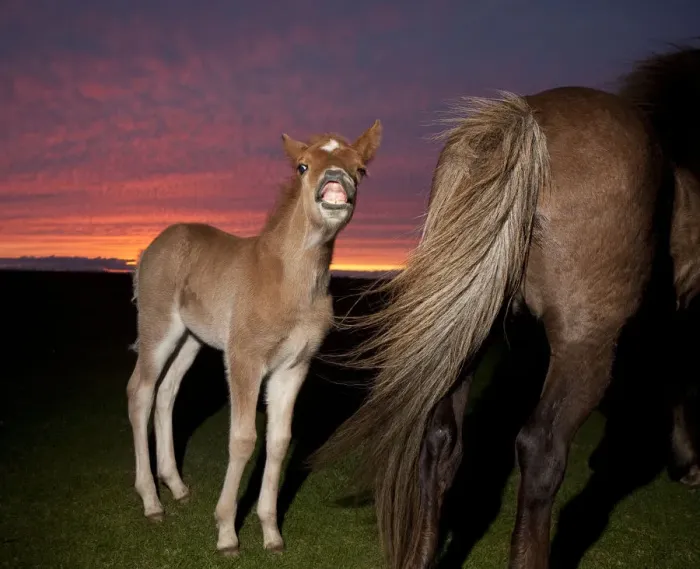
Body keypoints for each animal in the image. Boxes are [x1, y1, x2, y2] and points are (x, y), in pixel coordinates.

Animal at [125, 119, 382, 555]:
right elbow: (244, 439)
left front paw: (271, 532)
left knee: (167, 392)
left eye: (361, 169)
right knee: (140, 391)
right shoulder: (245, 358)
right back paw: (151, 502)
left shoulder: (293, 367)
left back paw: (176, 486)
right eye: (302, 166)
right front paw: (227, 533)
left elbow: (279, 442)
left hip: (191, 339)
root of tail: (149, 250)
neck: (289, 283)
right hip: (159, 328)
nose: (335, 180)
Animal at [313, 45, 700, 569]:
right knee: (540, 449)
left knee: (440, 440)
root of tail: (526, 118)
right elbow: (674, 378)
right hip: (585, 342)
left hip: (468, 334)